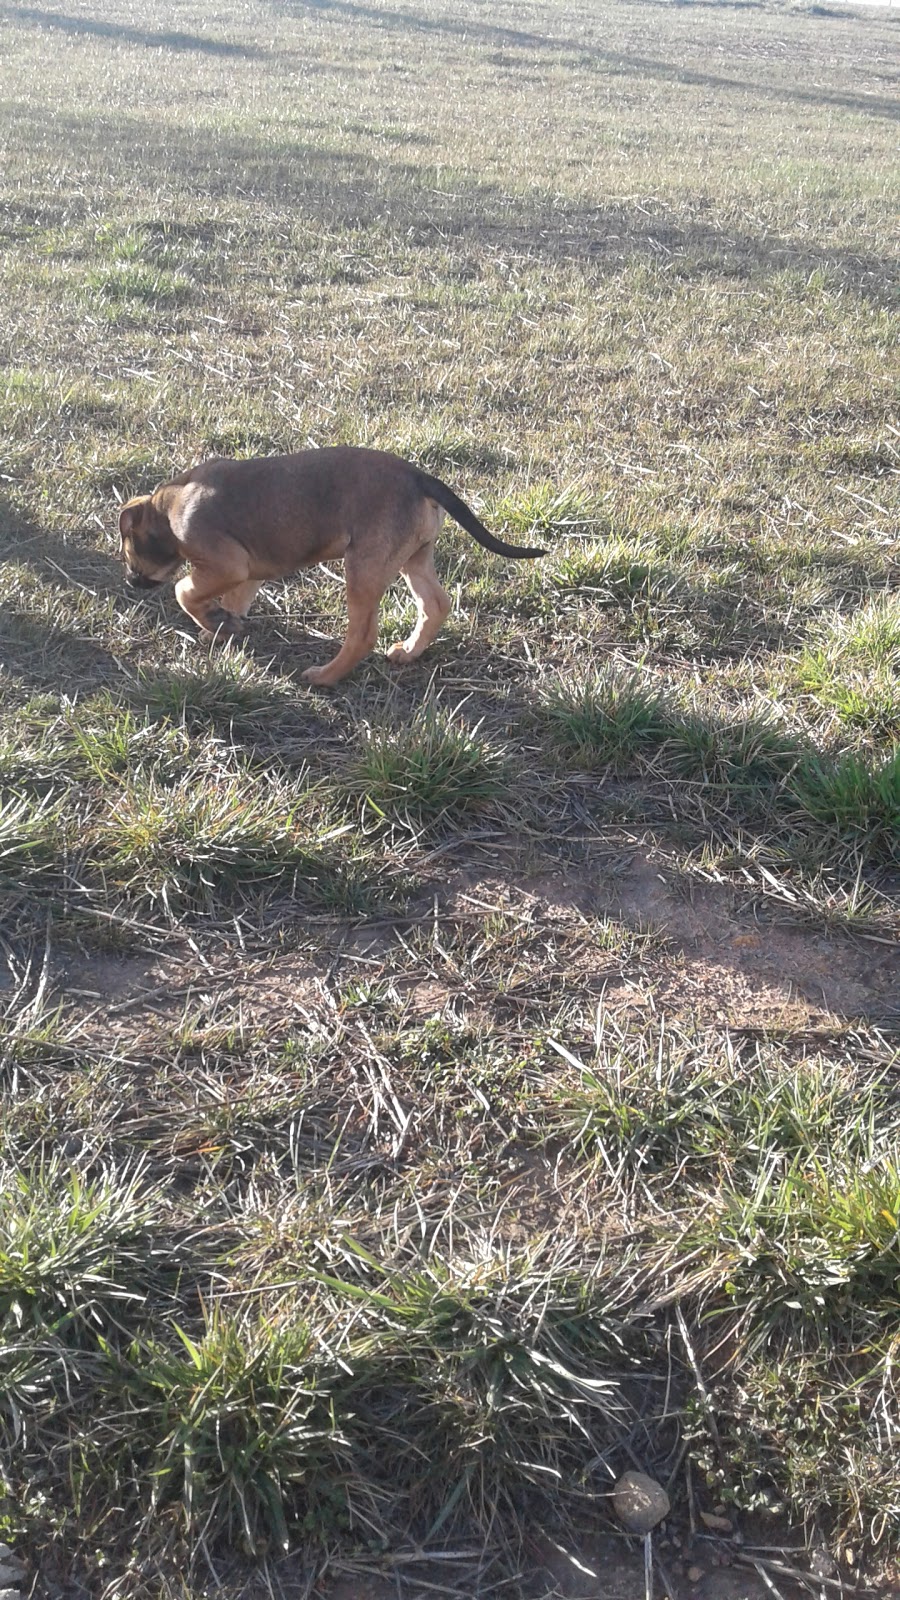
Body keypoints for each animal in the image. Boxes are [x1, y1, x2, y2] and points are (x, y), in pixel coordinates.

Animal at [117, 448, 538, 684]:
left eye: (126, 550)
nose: (130, 581)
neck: (169, 506)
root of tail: (421, 478)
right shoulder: (247, 572)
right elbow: (231, 601)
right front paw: (219, 626)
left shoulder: (227, 564)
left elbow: (183, 590)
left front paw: (210, 619)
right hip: (414, 558)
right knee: (435, 604)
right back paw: (408, 652)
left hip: (363, 569)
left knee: (363, 635)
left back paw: (324, 678)